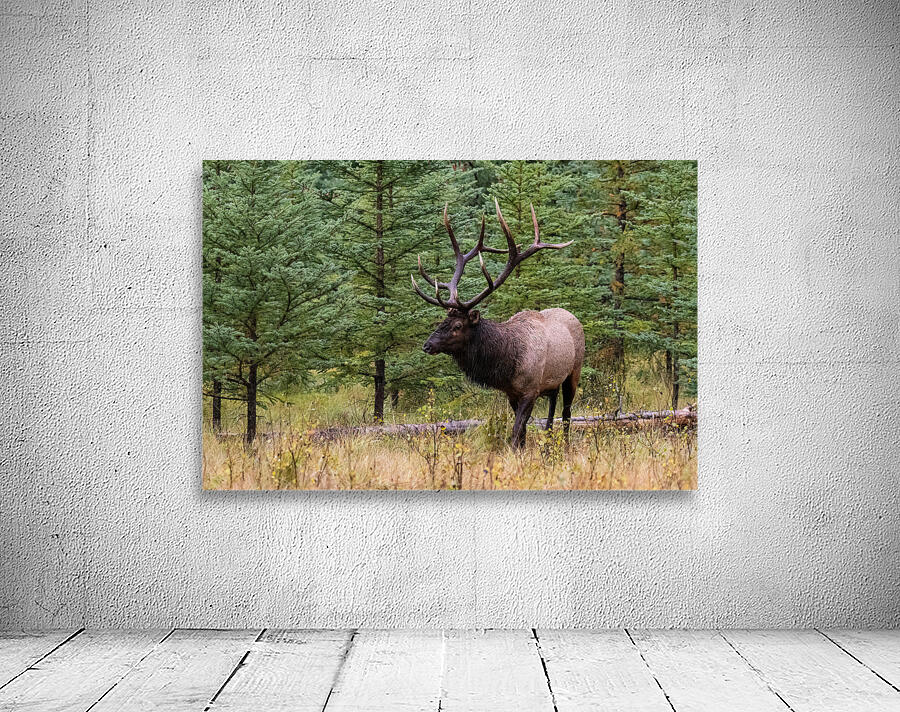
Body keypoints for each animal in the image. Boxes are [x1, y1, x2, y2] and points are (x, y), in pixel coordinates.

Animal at [411, 199, 585, 449]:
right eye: (443, 320)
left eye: (457, 326)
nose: (427, 345)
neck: (507, 364)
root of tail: (573, 315)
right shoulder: (512, 393)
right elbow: (521, 432)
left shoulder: (530, 390)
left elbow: (516, 430)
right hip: (552, 382)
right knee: (552, 411)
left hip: (574, 370)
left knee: (567, 413)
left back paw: (565, 445)